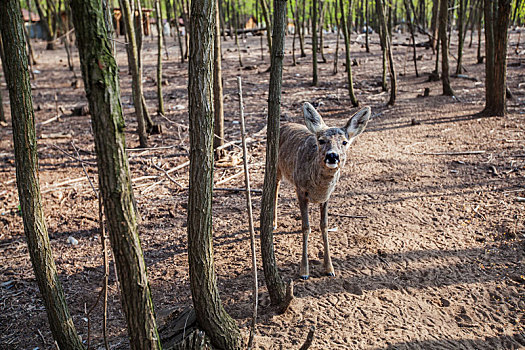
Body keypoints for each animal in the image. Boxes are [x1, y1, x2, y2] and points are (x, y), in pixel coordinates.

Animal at [274, 102, 368, 280]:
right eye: (321, 140)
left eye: (344, 142)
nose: (332, 156)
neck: (317, 188)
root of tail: (286, 124)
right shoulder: (300, 190)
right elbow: (306, 226)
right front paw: (304, 271)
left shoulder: (327, 196)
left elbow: (324, 225)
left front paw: (329, 268)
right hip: (275, 166)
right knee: (274, 187)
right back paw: (274, 223)